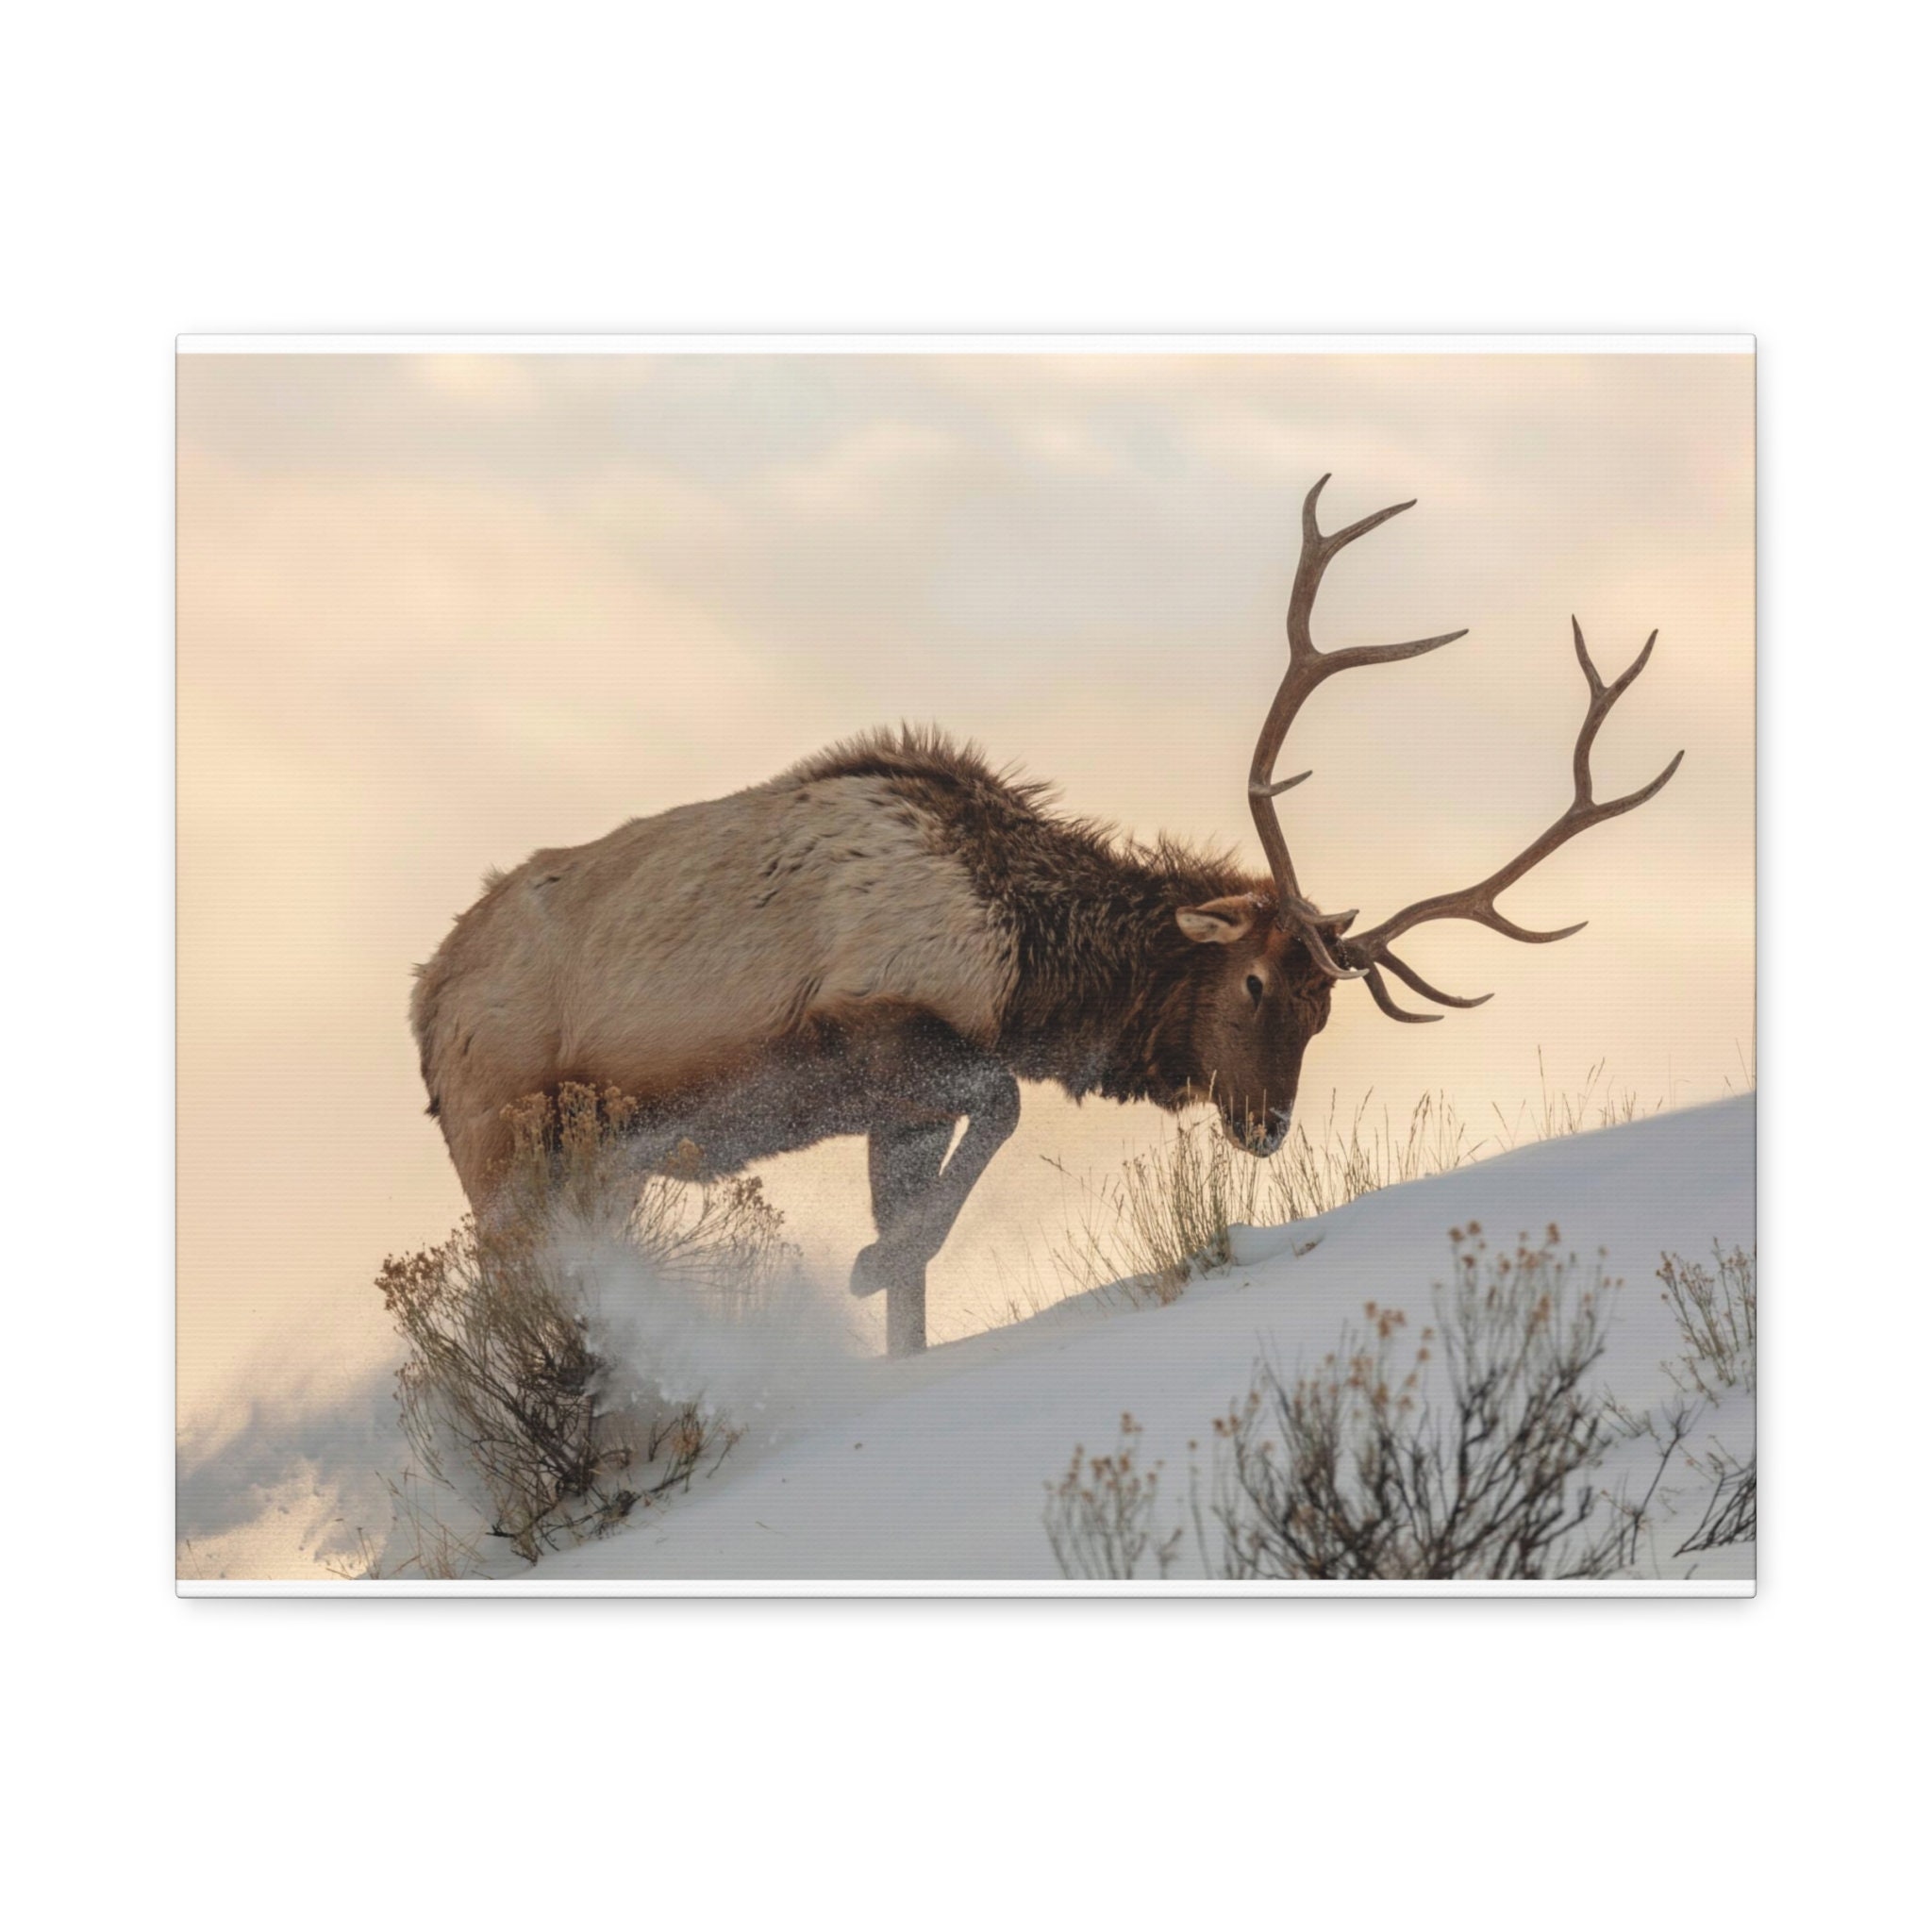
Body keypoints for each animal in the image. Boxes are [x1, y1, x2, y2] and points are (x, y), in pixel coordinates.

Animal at [412, 475, 1682, 1354]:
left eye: (1327, 1011)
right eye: (1255, 981)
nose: (1266, 1125)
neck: (1029, 967)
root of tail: (423, 1002)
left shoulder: (894, 1107)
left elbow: (924, 1265)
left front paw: (888, 1295)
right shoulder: (875, 1029)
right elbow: (1001, 1110)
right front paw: (863, 1263)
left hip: (593, 1167)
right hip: (503, 1148)